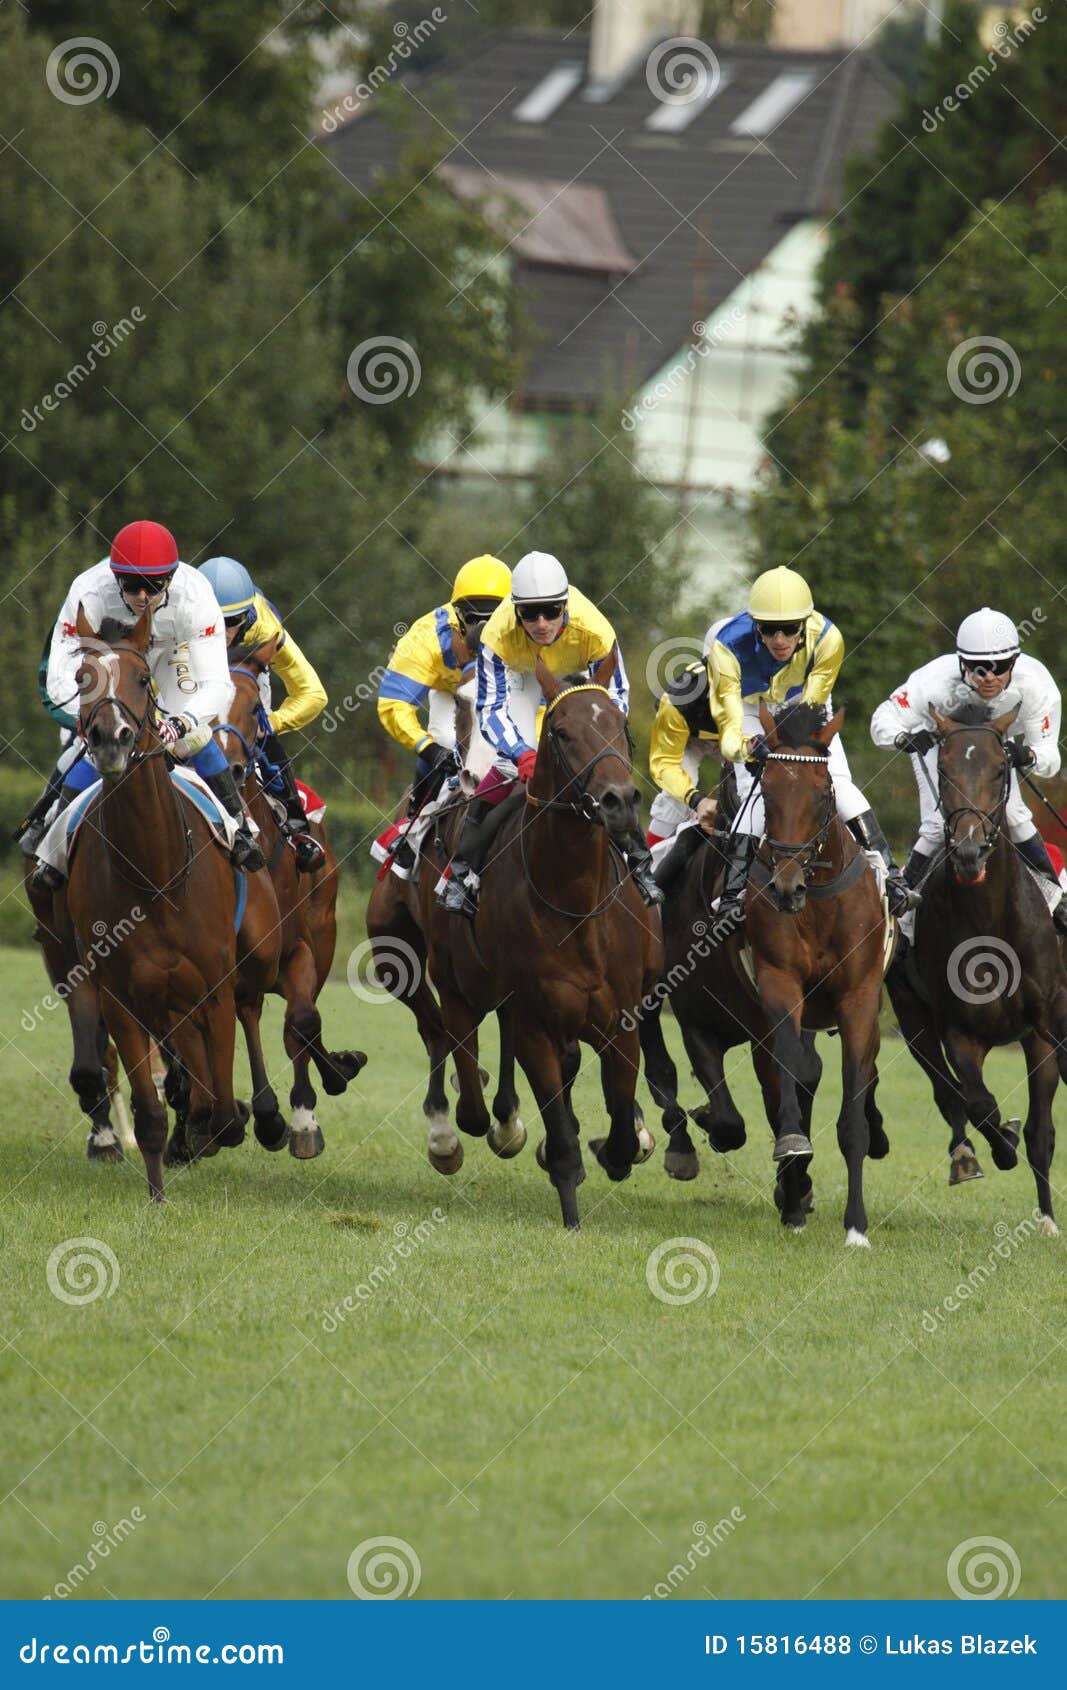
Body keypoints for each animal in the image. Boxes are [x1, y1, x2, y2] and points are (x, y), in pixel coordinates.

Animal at [66, 601, 268, 1196]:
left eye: (139, 678)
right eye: (81, 679)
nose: (111, 737)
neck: (153, 875)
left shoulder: (216, 990)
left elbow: (219, 1109)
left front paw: (220, 1124)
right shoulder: (123, 998)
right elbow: (155, 1111)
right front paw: (157, 1193)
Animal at [214, 638, 368, 1155]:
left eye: (252, 706)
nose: (230, 768)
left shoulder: (301, 948)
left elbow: (303, 1021)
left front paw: (303, 1116)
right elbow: (250, 1013)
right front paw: (265, 1114)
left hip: (322, 939)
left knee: (299, 1024)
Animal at [419, 655, 656, 1230]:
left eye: (622, 727)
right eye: (563, 733)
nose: (619, 801)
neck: (573, 902)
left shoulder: (622, 1019)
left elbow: (620, 1120)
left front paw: (616, 1147)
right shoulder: (532, 1023)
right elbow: (558, 1122)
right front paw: (570, 1201)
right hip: (456, 985)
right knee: (466, 1079)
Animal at [886, 696, 1067, 1230]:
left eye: (1000, 768)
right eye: (943, 768)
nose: (968, 850)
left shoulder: (1043, 1028)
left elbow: (1041, 1133)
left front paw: (1047, 1219)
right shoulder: (958, 1031)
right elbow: (979, 1104)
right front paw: (1000, 1144)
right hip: (912, 1018)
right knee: (948, 1093)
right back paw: (967, 1154)